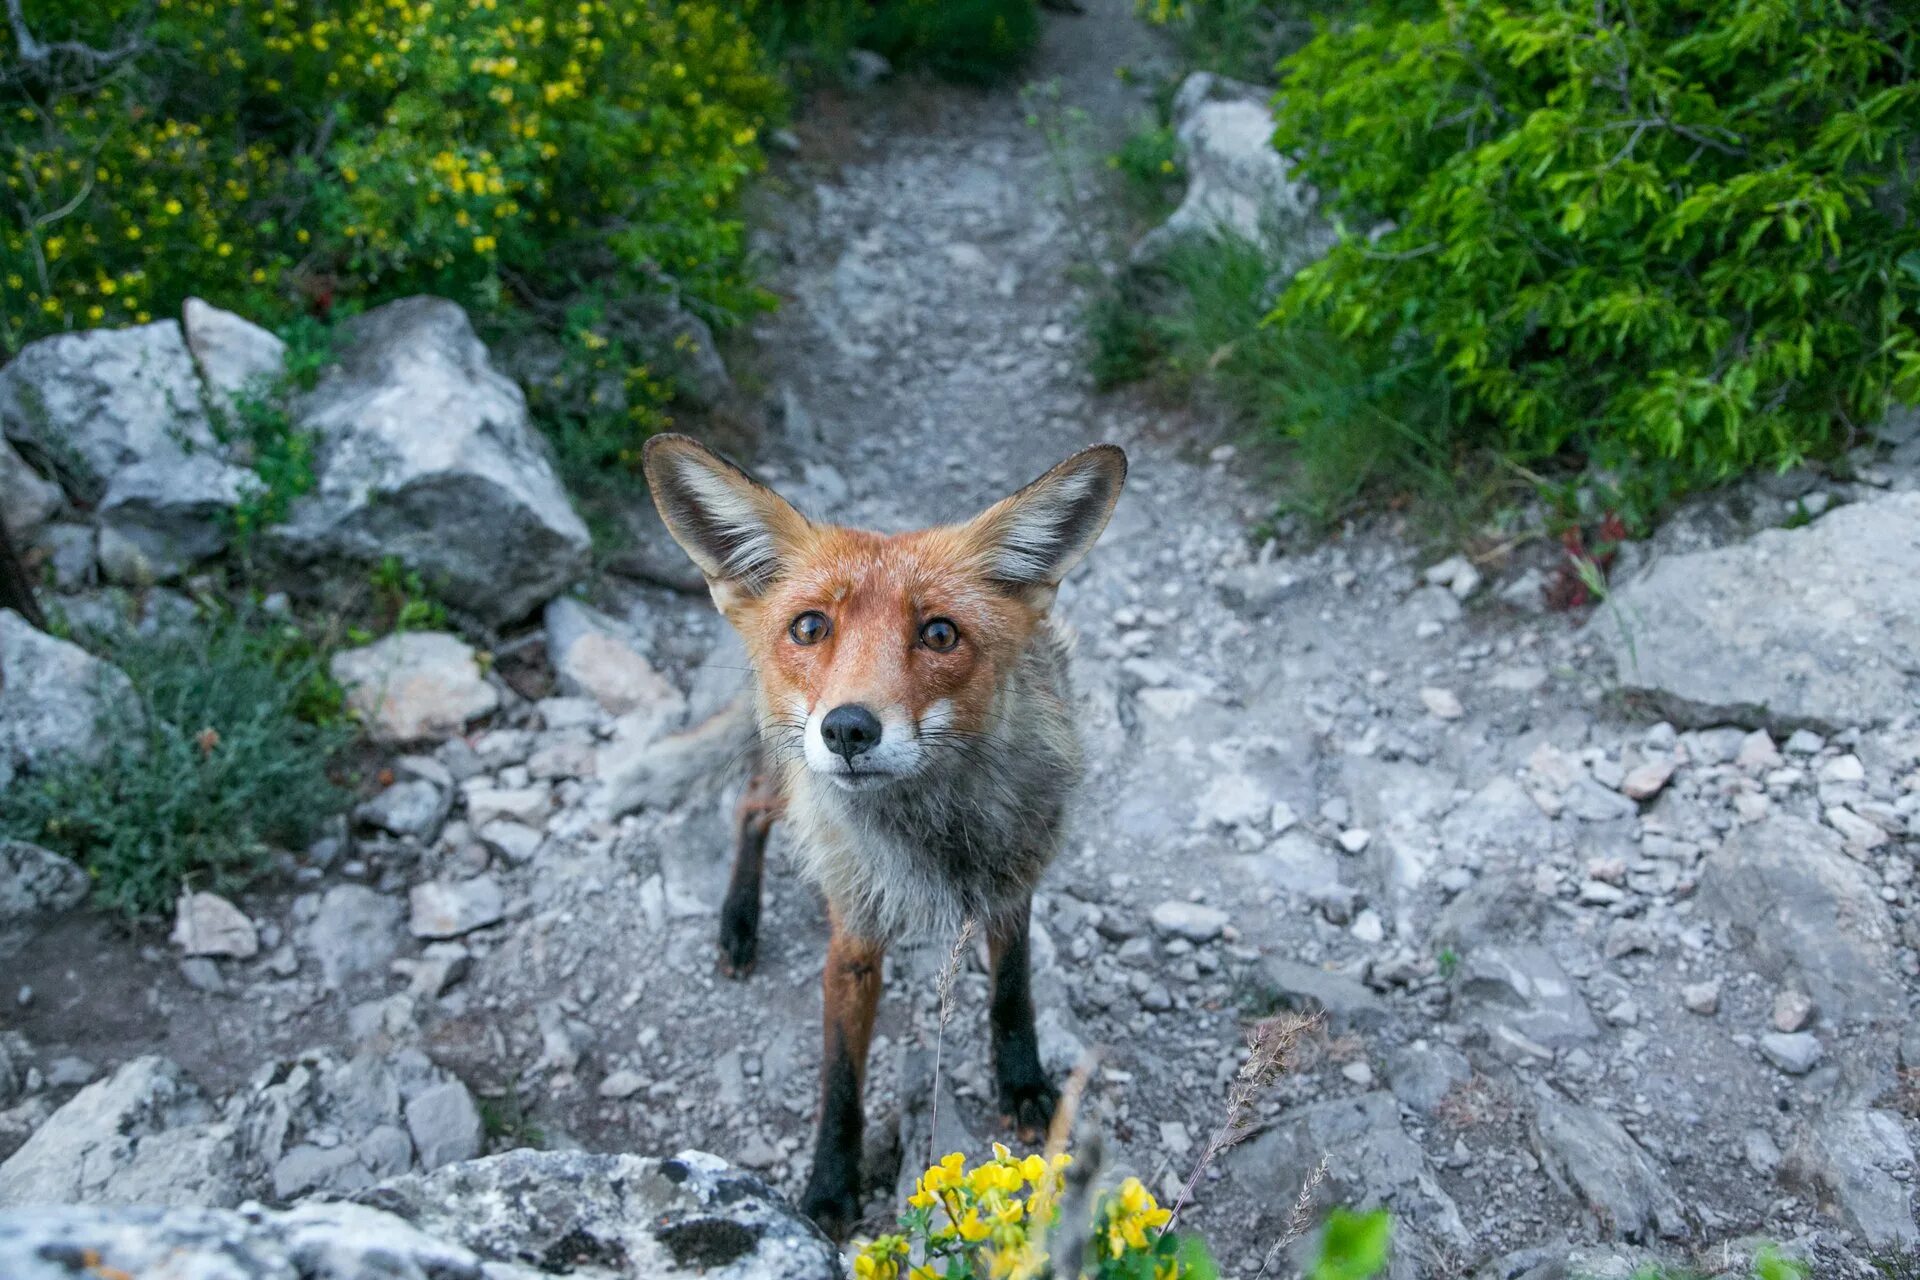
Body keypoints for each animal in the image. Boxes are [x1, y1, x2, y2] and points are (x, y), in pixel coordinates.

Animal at [637, 435, 1128, 1235]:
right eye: (810, 627)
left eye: (939, 634)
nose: (847, 730)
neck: (932, 833)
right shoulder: (855, 935)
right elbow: (841, 1079)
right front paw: (830, 1188)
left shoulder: (1012, 877)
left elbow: (1013, 993)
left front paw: (1022, 1084)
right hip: (787, 778)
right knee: (752, 806)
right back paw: (738, 921)